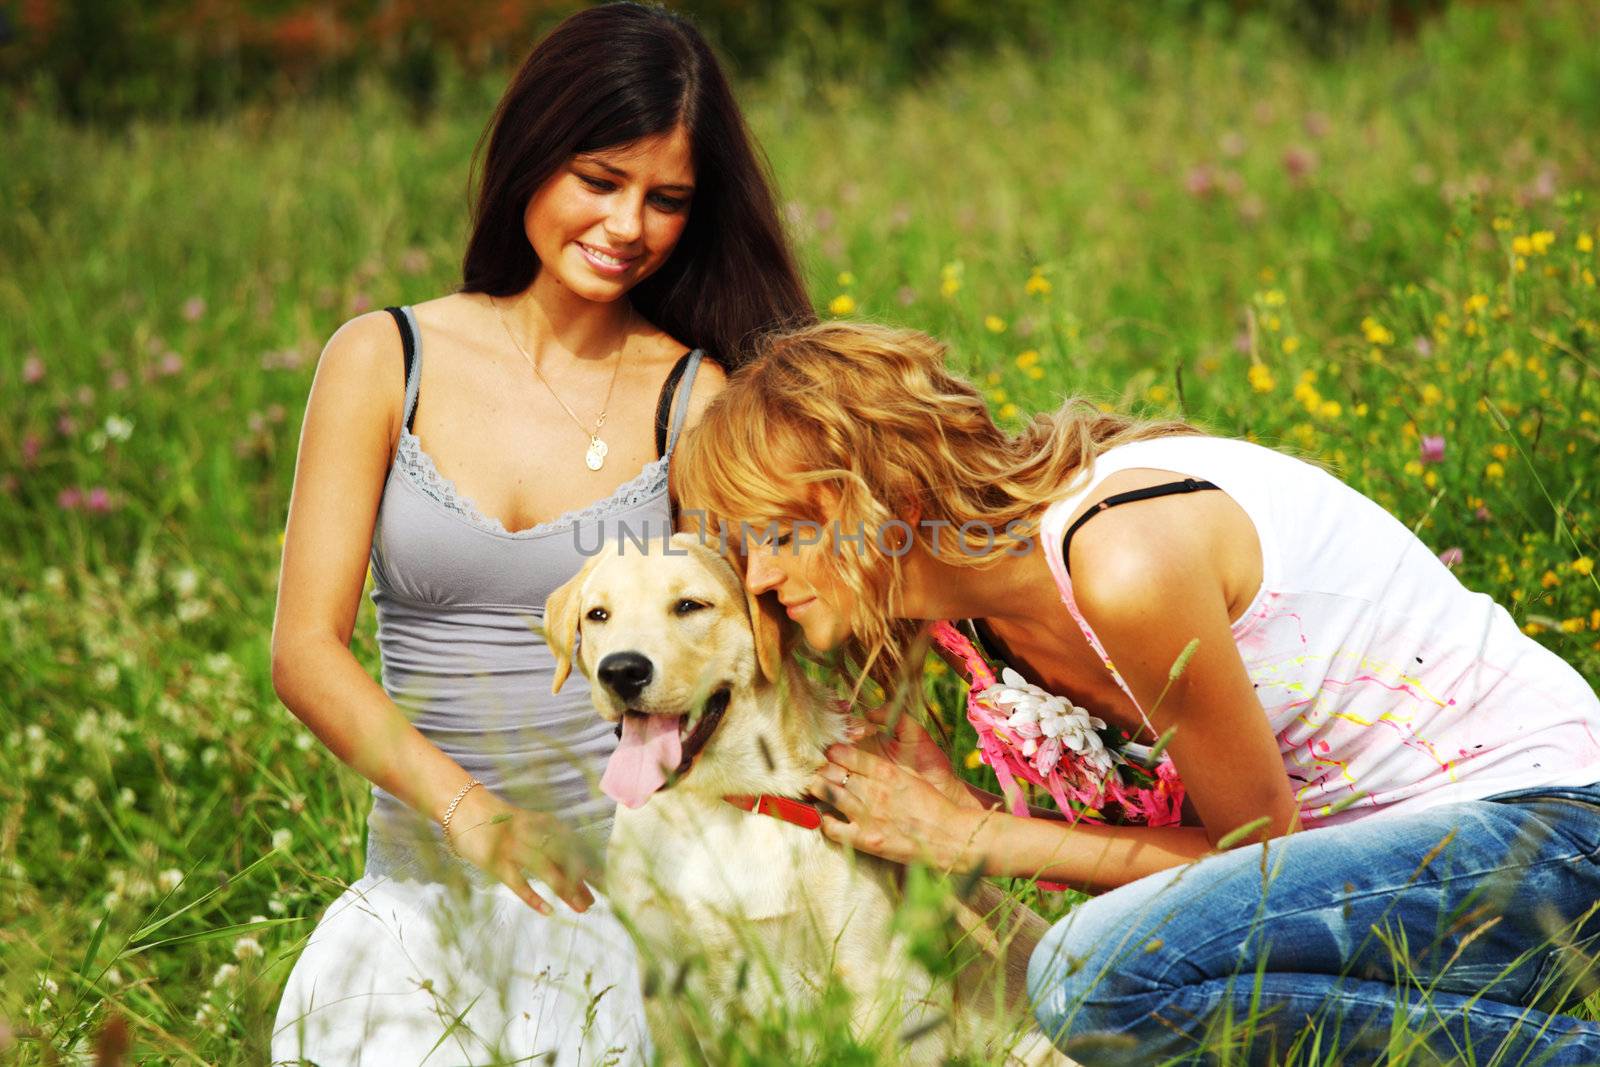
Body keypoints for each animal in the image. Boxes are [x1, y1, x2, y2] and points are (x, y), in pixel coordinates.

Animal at [544, 531, 1068, 1062]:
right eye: (598, 615)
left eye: (689, 605)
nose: (620, 671)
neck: (721, 801)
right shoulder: (665, 990)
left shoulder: (877, 986)